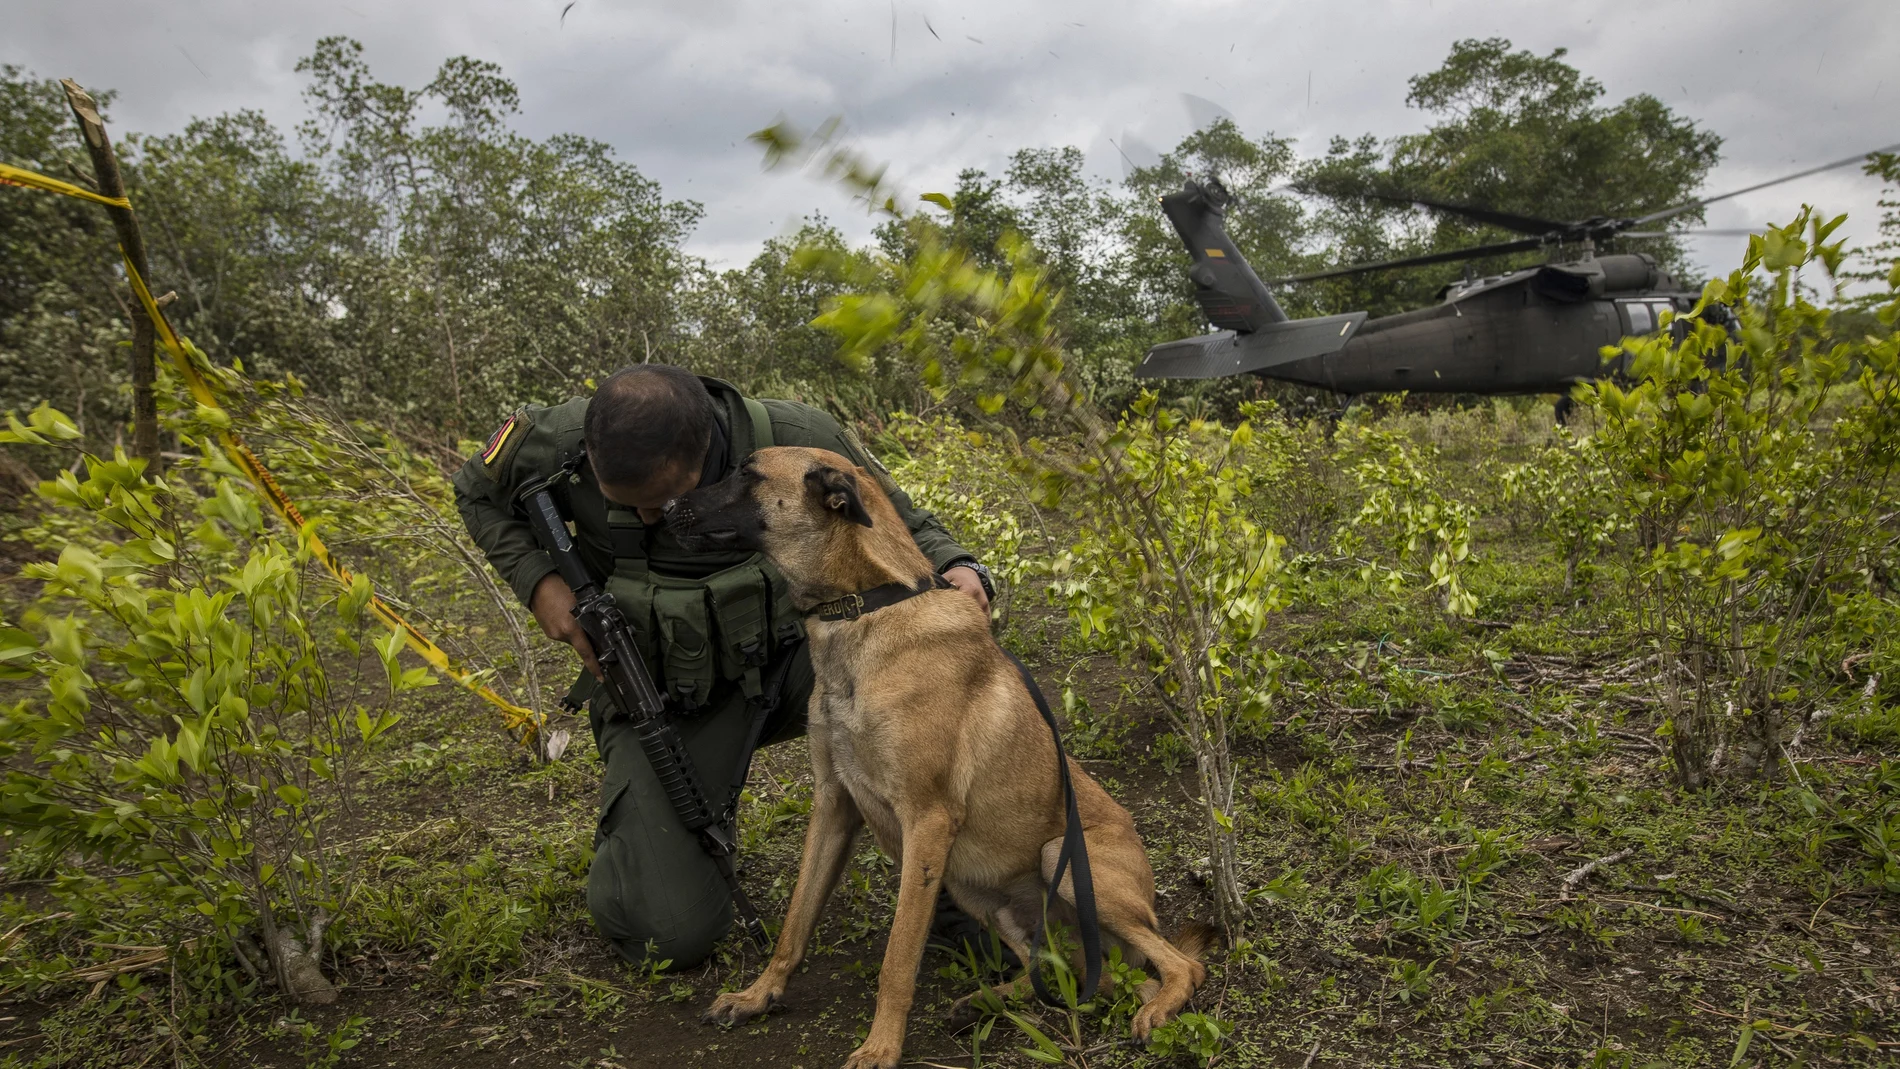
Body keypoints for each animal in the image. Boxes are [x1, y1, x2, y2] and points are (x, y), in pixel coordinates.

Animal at [665, 446, 1200, 1069]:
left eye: (746, 474)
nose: (669, 509)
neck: (862, 606)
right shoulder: (834, 804)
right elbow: (795, 924)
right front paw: (758, 995)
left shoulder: (926, 820)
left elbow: (898, 960)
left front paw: (879, 1048)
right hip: (978, 891)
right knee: (1071, 973)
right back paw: (988, 1000)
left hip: (1060, 861)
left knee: (1177, 966)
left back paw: (1156, 1008)